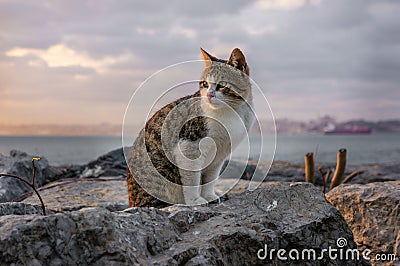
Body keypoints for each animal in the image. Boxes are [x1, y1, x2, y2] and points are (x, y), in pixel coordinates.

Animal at [126, 47, 255, 206]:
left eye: (222, 85)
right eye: (205, 84)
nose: (209, 95)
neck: (230, 112)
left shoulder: (219, 154)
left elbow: (210, 178)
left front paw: (209, 196)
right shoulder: (189, 147)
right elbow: (192, 179)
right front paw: (195, 201)